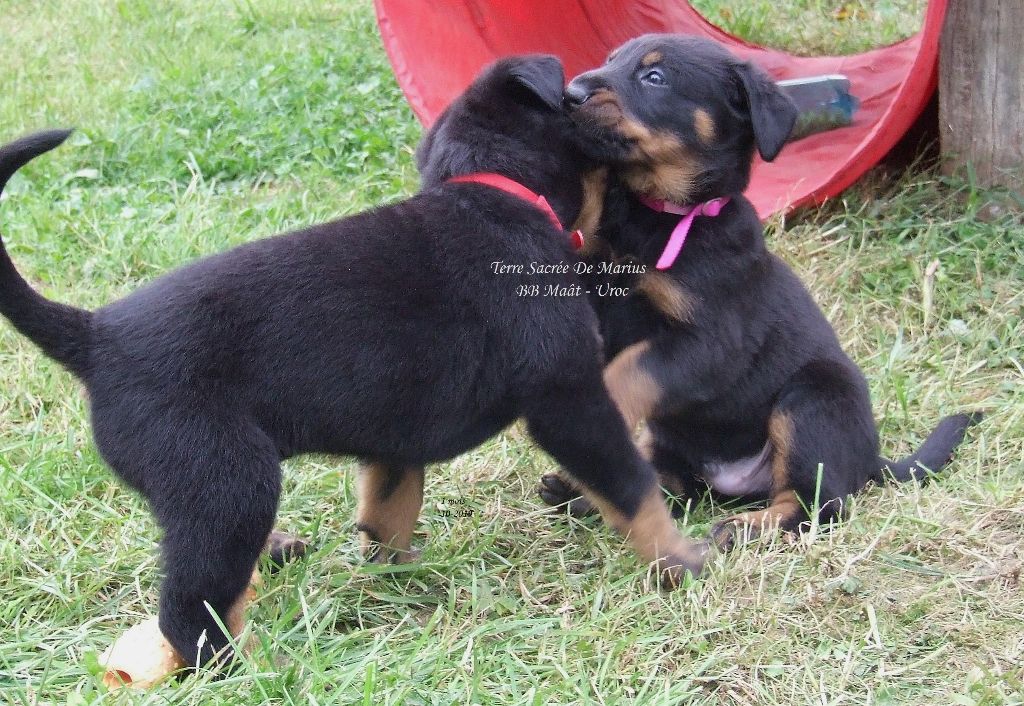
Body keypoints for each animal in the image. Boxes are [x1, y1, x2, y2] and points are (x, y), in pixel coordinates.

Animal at [0, 55, 704, 668]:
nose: (592, 87)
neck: (496, 194)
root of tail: (97, 336)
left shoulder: (399, 431)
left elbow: (389, 508)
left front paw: (393, 573)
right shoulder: (568, 396)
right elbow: (631, 484)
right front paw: (683, 559)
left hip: (206, 491)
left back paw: (275, 559)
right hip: (226, 478)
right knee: (191, 607)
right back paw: (254, 666)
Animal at [536, 33, 974, 549]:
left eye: (654, 77)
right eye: (610, 60)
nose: (571, 94)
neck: (657, 216)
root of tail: (870, 461)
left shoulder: (710, 342)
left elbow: (628, 372)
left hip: (811, 399)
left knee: (816, 505)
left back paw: (744, 527)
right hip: (669, 442)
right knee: (677, 487)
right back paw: (583, 493)